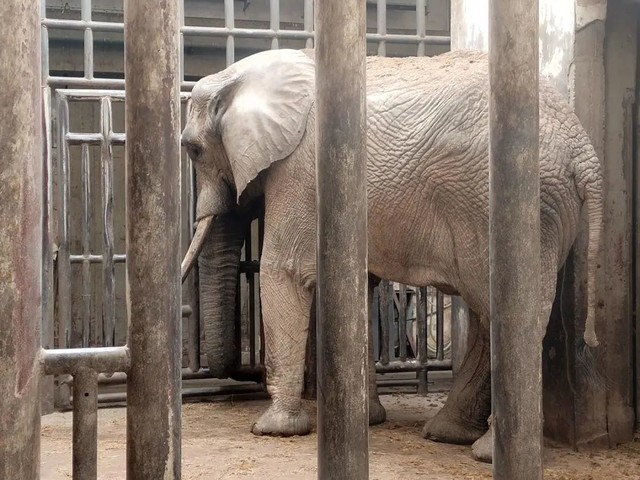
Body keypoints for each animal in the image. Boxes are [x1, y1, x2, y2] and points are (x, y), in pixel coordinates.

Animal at [179, 47, 600, 462]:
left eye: (194, 150)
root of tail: (583, 149)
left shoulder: (301, 170)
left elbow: (285, 271)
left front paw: (274, 429)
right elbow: (356, 285)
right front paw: (363, 420)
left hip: (507, 206)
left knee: (502, 312)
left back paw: (489, 451)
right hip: (547, 210)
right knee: (492, 317)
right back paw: (450, 434)